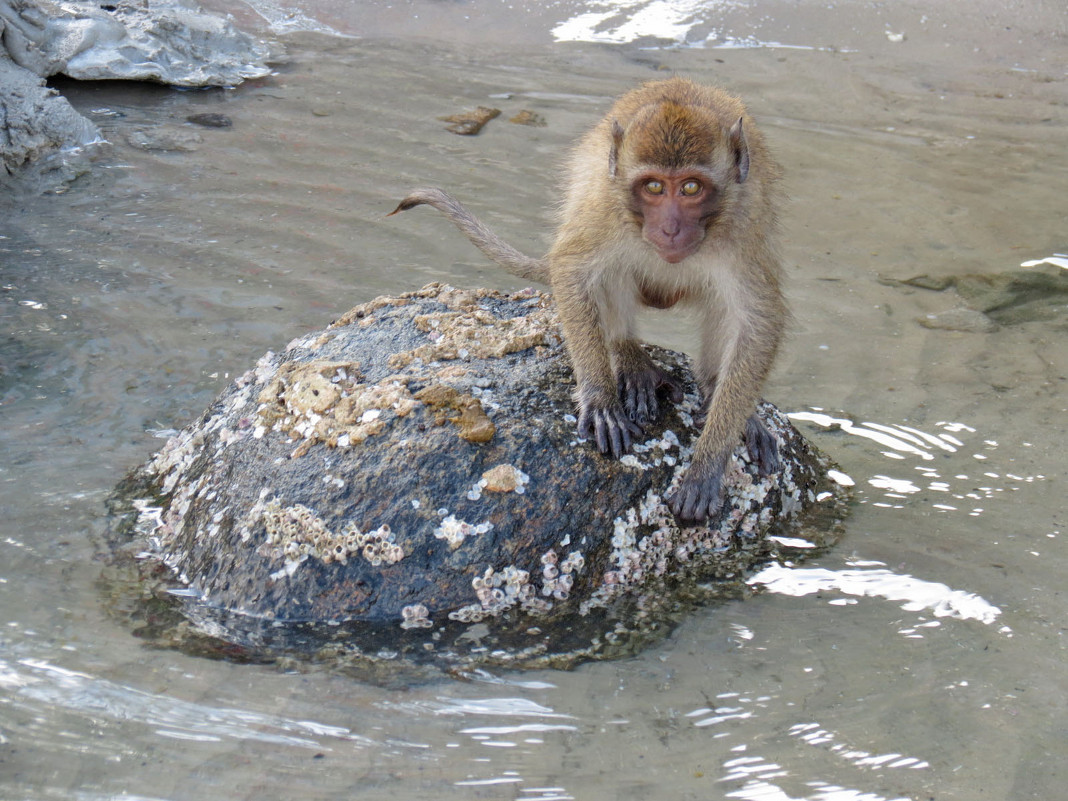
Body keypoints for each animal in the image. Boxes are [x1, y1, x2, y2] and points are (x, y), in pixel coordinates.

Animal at [393, 78, 786, 523]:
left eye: (690, 187)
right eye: (654, 186)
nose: (670, 228)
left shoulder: (744, 224)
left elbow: (757, 320)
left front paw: (711, 458)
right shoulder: (604, 203)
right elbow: (572, 270)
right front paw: (600, 397)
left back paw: (716, 387)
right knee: (609, 273)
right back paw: (627, 355)